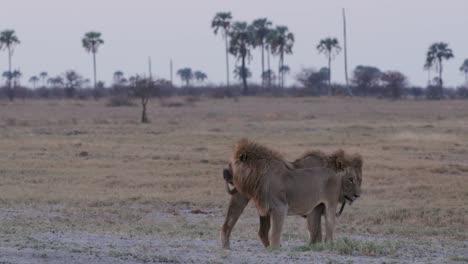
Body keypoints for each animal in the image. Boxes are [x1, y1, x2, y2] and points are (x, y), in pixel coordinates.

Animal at [220, 139, 362, 249]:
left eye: (358, 180)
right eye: (351, 179)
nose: (357, 195)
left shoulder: (297, 207)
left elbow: (314, 232)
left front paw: (313, 247)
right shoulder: (290, 208)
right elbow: (312, 231)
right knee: (233, 222)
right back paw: (226, 246)